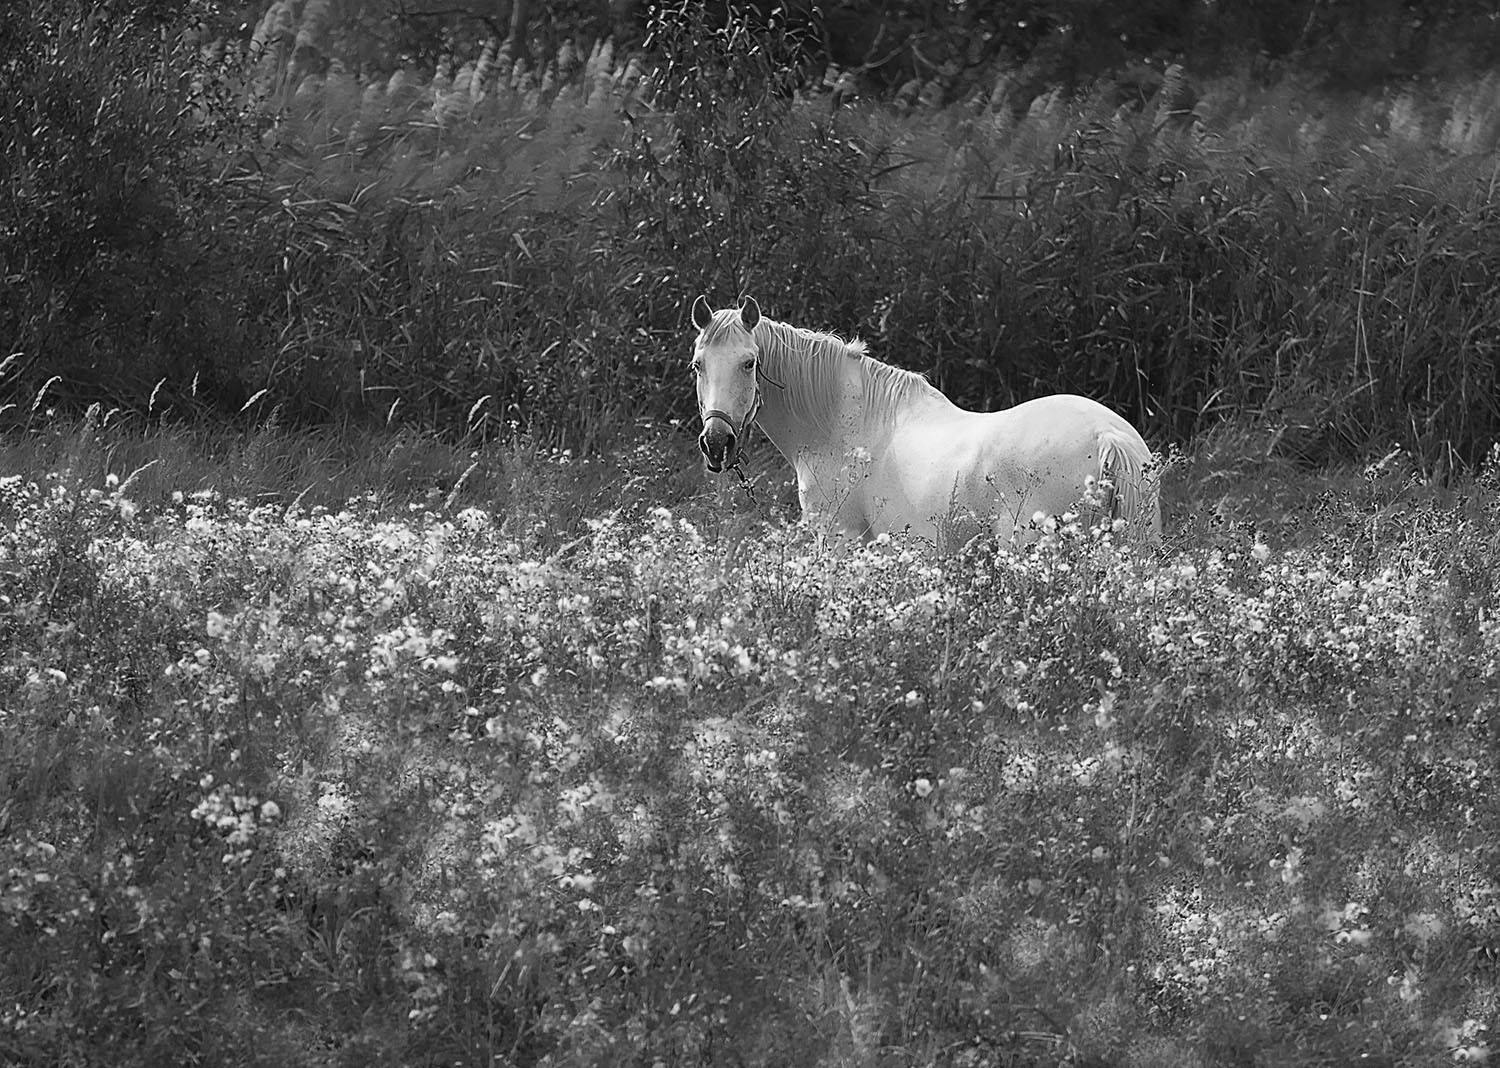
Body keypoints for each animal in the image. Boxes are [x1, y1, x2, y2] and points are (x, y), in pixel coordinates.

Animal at [690, 296, 1162, 551]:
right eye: (697, 365)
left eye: (749, 363)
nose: (716, 442)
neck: (842, 425)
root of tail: (1108, 436)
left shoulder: (839, 540)